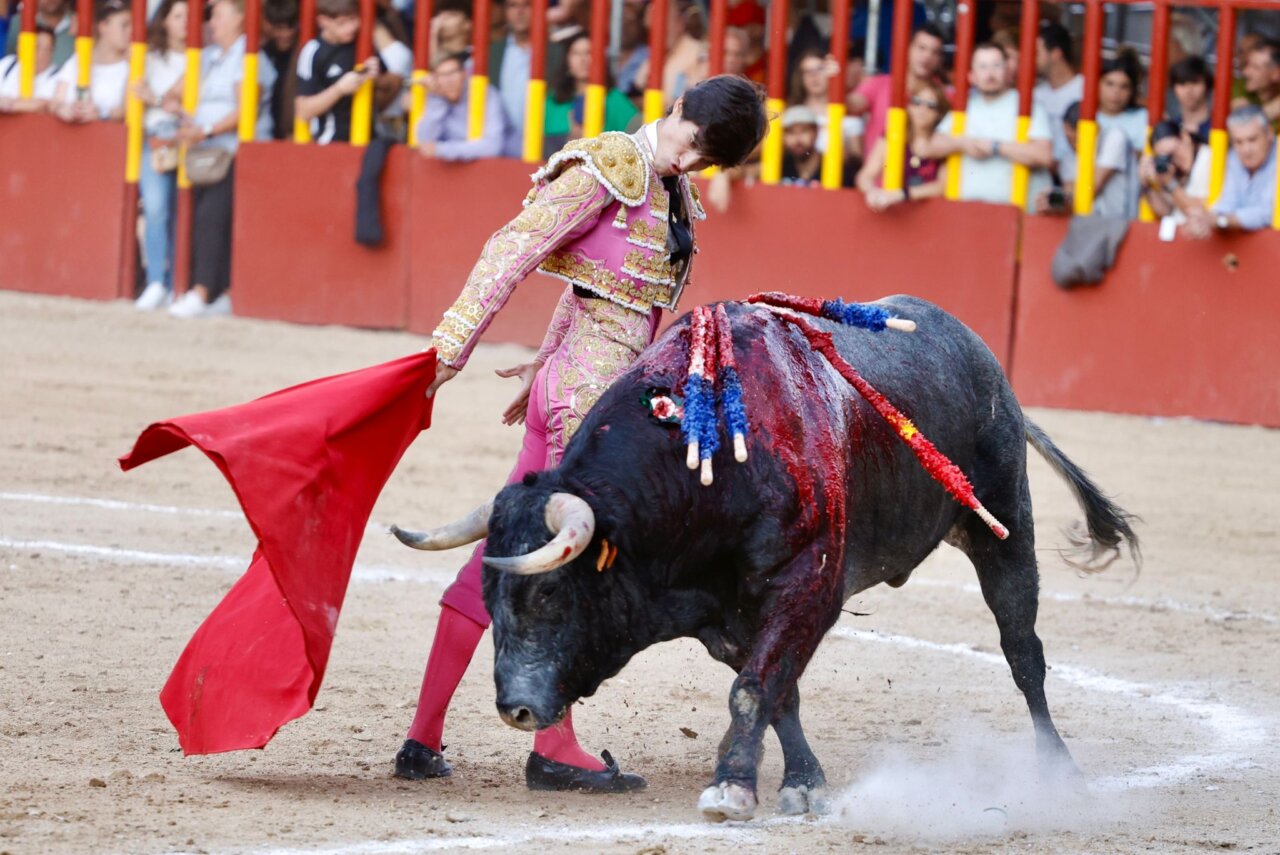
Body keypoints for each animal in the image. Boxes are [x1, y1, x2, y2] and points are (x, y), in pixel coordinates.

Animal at [392, 295, 1139, 822]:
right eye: (492, 599)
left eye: (548, 593)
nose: (515, 708)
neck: (707, 458)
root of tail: (980, 353)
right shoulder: (721, 614)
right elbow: (778, 689)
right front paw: (803, 783)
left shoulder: (808, 581)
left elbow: (755, 687)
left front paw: (731, 787)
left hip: (1004, 524)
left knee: (1023, 650)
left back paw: (1058, 771)